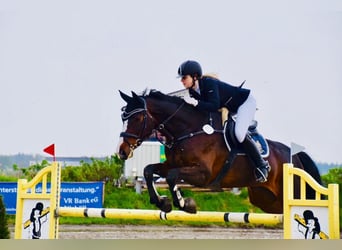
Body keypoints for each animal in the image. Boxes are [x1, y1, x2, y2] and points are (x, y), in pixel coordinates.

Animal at [117, 89, 320, 214]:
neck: (188, 130)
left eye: (138, 118)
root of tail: (295, 156)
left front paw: (185, 204)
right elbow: (149, 170)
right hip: (266, 199)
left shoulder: (203, 174)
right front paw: (163, 202)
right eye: (123, 118)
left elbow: (173, 176)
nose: (122, 151)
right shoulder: (171, 164)